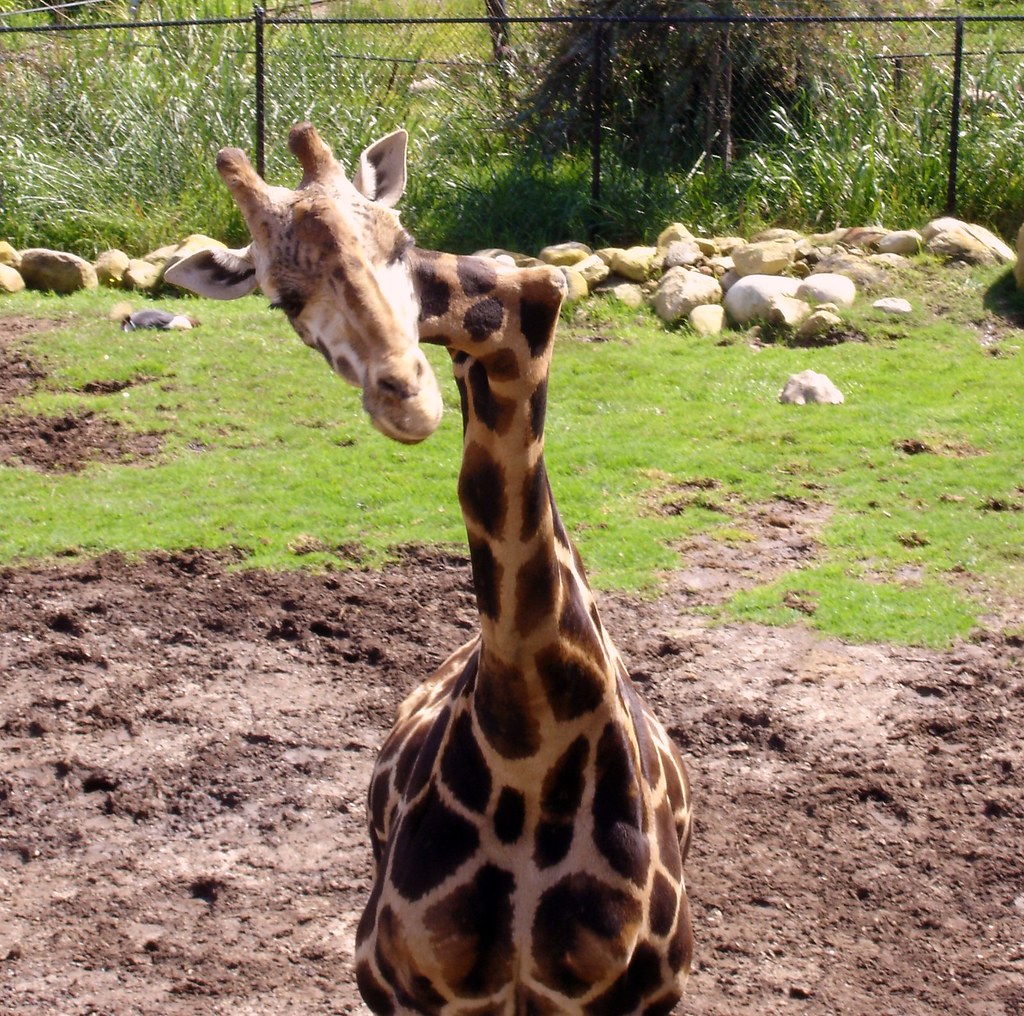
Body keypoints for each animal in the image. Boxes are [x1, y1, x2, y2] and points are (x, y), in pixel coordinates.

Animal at [167, 122, 694, 1016]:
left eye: (402, 243)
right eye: (283, 298)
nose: (408, 396)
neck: (528, 750)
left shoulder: (639, 996)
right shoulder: (398, 985)